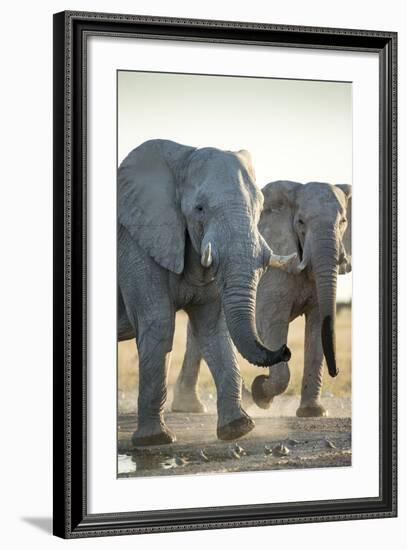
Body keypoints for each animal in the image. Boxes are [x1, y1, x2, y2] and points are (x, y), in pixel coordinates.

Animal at [118, 142, 296, 448]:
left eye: (260, 207)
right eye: (199, 209)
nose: (285, 350)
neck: (183, 156)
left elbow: (213, 329)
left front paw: (238, 429)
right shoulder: (137, 240)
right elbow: (158, 324)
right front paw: (155, 440)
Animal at [172, 181, 350, 418]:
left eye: (343, 222)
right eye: (300, 222)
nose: (336, 370)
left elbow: (317, 325)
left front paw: (313, 412)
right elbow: (273, 323)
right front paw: (260, 394)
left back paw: (191, 406)